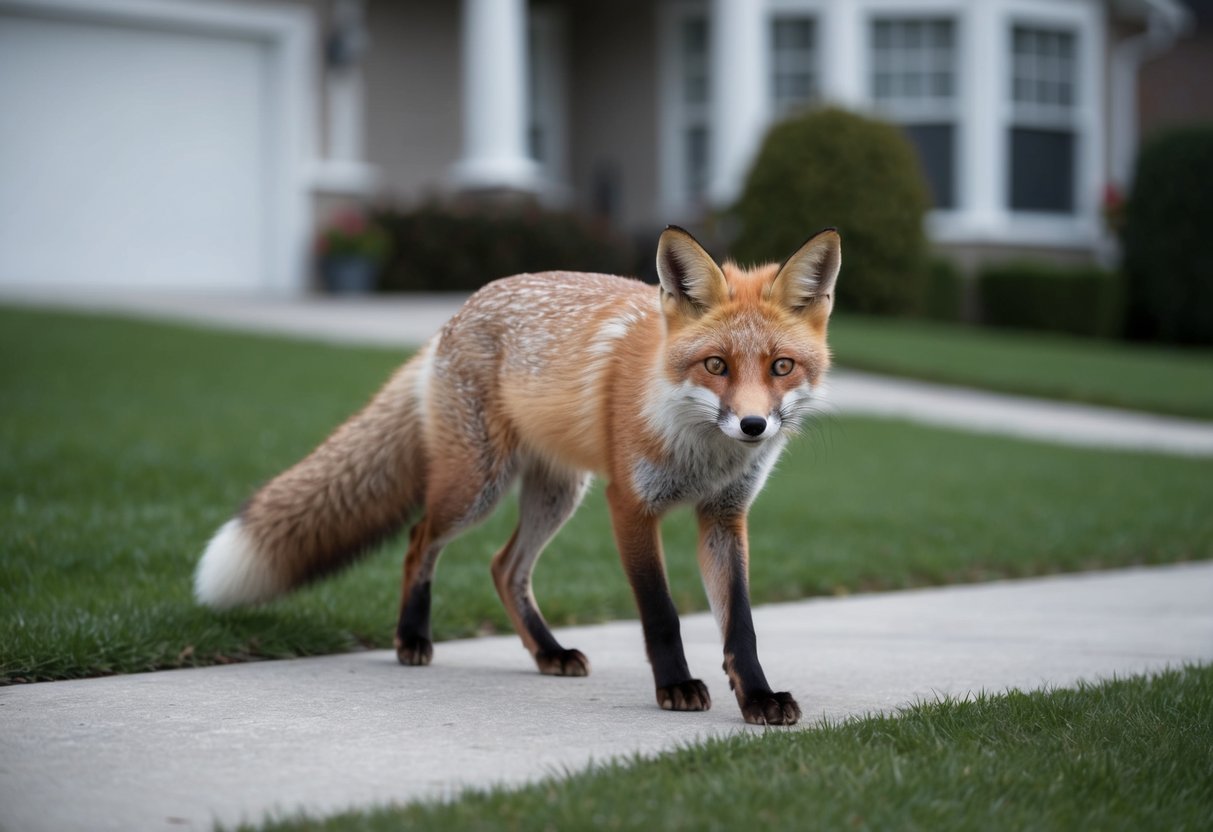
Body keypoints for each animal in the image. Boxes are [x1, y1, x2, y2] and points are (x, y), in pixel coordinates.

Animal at [194, 225, 841, 725]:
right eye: (716, 365)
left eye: (782, 367)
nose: (753, 425)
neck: (701, 452)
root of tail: (455, 316)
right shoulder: (631, 505)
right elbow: (661, 614)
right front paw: (676, 687)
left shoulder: (724, 515)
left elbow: (741, 625)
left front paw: (757, 697)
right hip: (476, 488)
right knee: (418, 541)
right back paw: (412, 638)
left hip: (556, 495)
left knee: (504, 568)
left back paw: (548, 653)